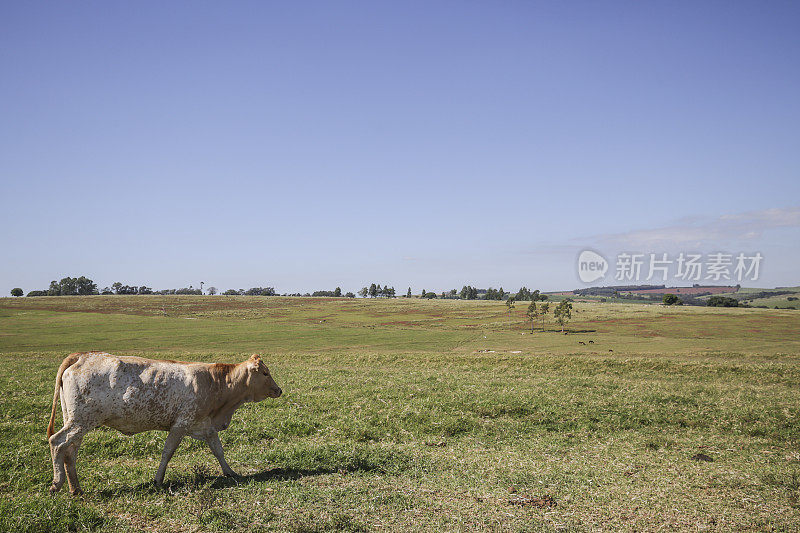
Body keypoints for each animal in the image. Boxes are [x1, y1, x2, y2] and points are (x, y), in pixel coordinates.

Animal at [47, 350, 282, 494]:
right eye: (265, 372)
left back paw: (76, 488)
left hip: (76, 420)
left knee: (70, 451)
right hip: (81, 421)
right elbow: (167, 453)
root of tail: (83, 356)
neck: (215, 383)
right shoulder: (180, 425)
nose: (279, 390)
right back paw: (57, 484)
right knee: (57, 442)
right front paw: (158, 480)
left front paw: (230, 472)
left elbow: (218, 450)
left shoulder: (206, 426)